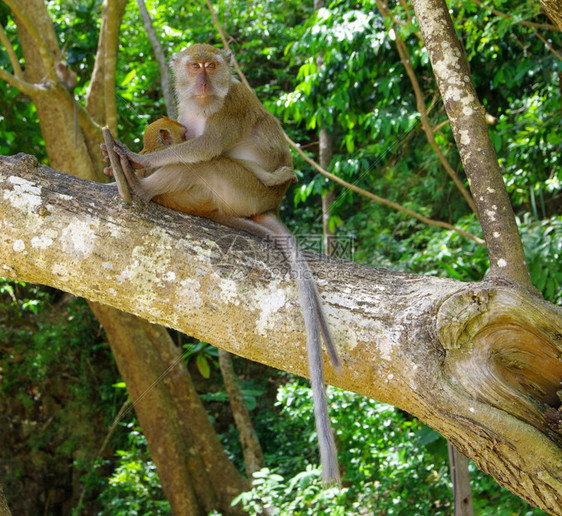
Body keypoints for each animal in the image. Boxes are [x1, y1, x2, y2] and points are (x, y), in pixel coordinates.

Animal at [102, 43, 340, 484]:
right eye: (195, 65)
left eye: (211, 67)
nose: (202, 79)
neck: (204, 103)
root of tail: (268, 203)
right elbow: (190, 143)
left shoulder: (229, 108)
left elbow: (202, 148)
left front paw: (134, 159)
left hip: (244, 189)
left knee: (208, 163)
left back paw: (138, 186)